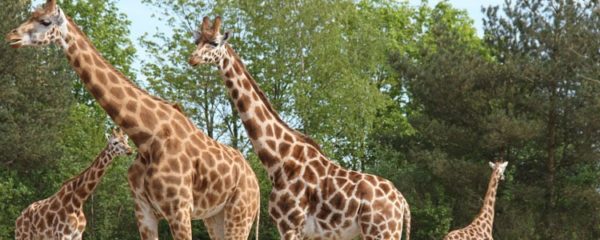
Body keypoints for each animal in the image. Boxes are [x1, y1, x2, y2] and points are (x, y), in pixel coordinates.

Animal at [6, 2, 260, 240]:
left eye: (45, 21)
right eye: (31, 15)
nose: (11, 36)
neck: (147, 136)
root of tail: (255, 180)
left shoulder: (179, 209)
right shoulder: (143, 210)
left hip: (240, 213)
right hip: (215, 216)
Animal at [190, 15, 410, 239]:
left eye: (214, 43)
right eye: (196, 41)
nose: (193, 59)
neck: (279, 159)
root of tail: (402, 203)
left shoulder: (290, 224)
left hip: (381, 231)